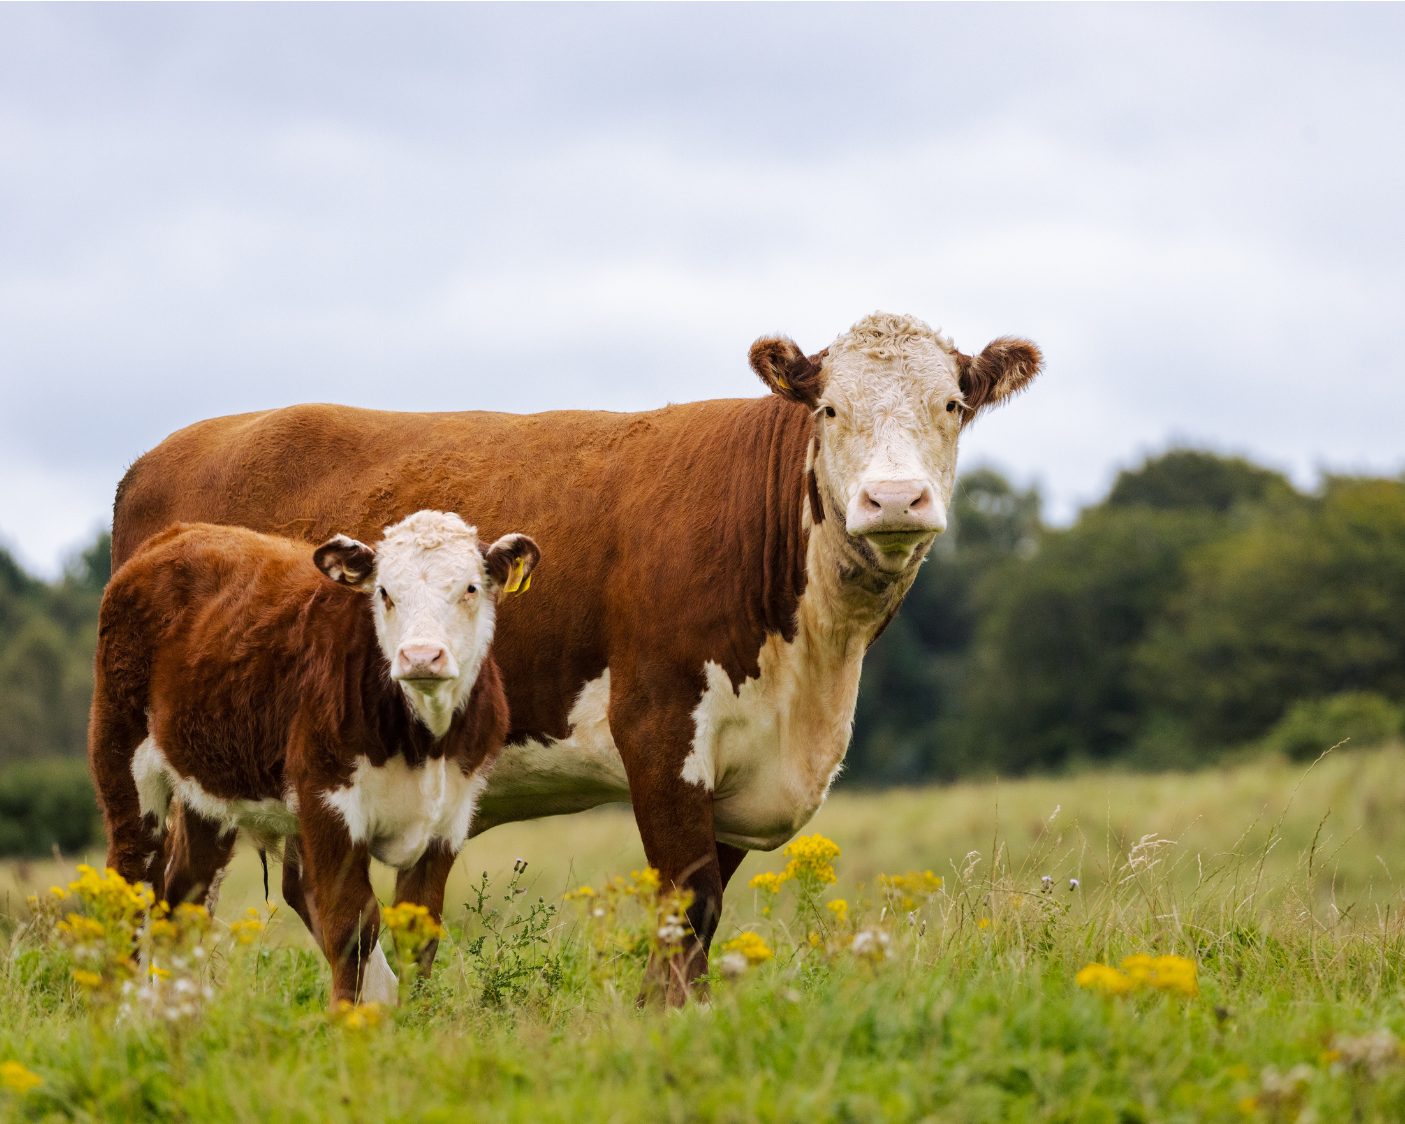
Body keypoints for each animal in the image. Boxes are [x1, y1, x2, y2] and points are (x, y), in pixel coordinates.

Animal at [89, 510, 541, 1006]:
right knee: (129, 884)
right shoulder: (327, 802)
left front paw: (413, 1017)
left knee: (183, 901)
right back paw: (117, 1012)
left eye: (470, 588)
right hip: (123, 759)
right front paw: (347, 1018)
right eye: (385, 592)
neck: (424, 741)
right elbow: (352, 927)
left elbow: (418, 934)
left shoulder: (449, 818)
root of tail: (180, 533)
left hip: (207, 789)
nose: (421, 656)